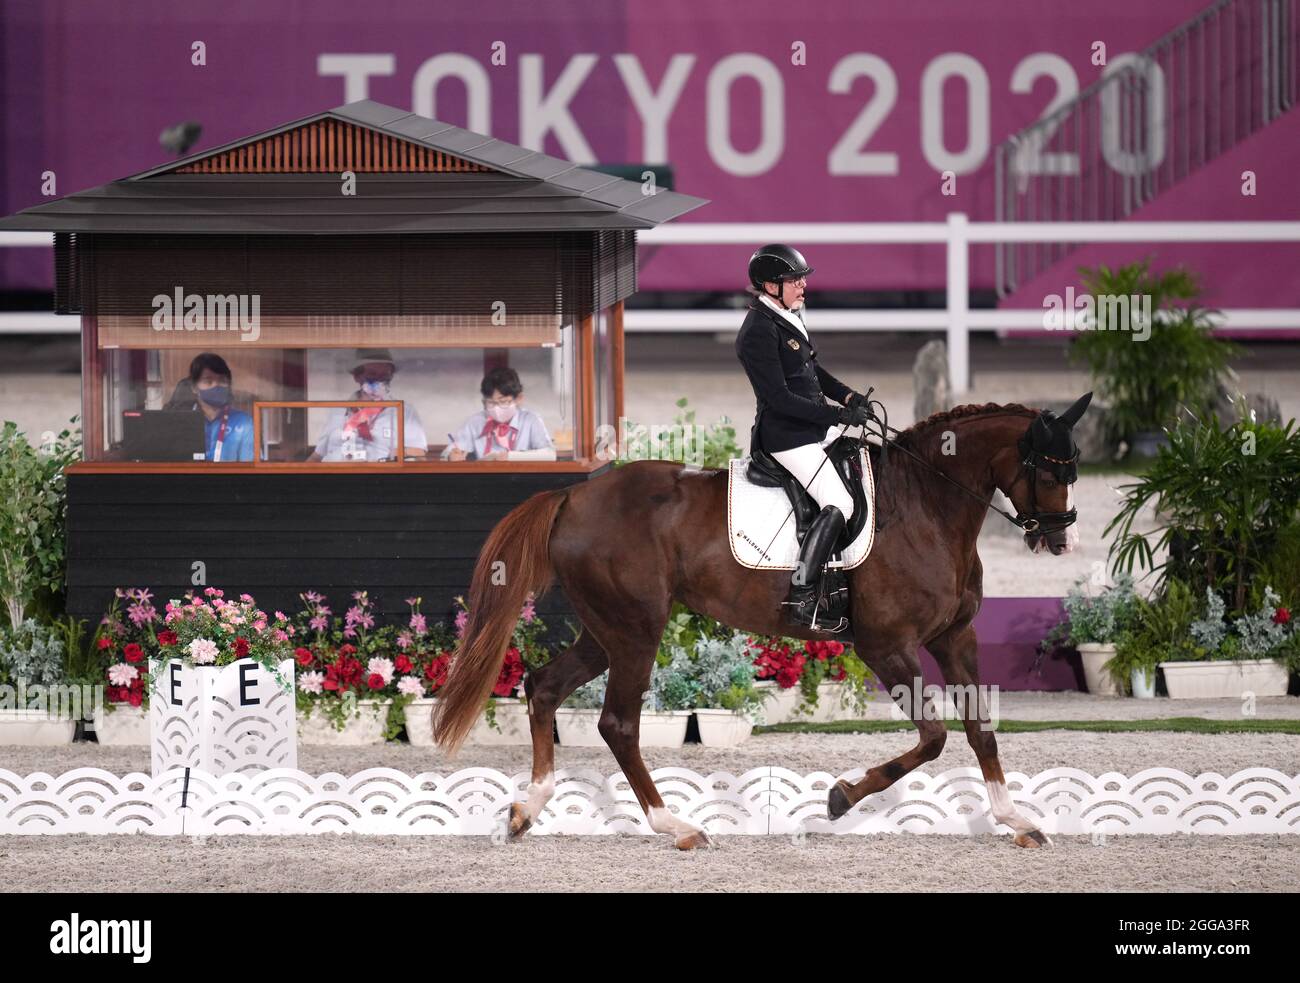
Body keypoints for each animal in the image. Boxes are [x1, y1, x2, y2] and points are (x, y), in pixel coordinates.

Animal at [431, 395, 1092, 847]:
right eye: (1049, 471)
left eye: (1074, 471)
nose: (1062, 541)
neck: (926, 506)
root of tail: (572, 495)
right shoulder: (887, 646)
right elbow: (934, 737)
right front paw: (840, 798)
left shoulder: (956, 637)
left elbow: (981, 728)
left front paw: (1014, 819)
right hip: (635, 633)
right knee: (618, 724)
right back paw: (676, 826)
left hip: (606, 632)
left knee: (544, 688)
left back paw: (527, 809)